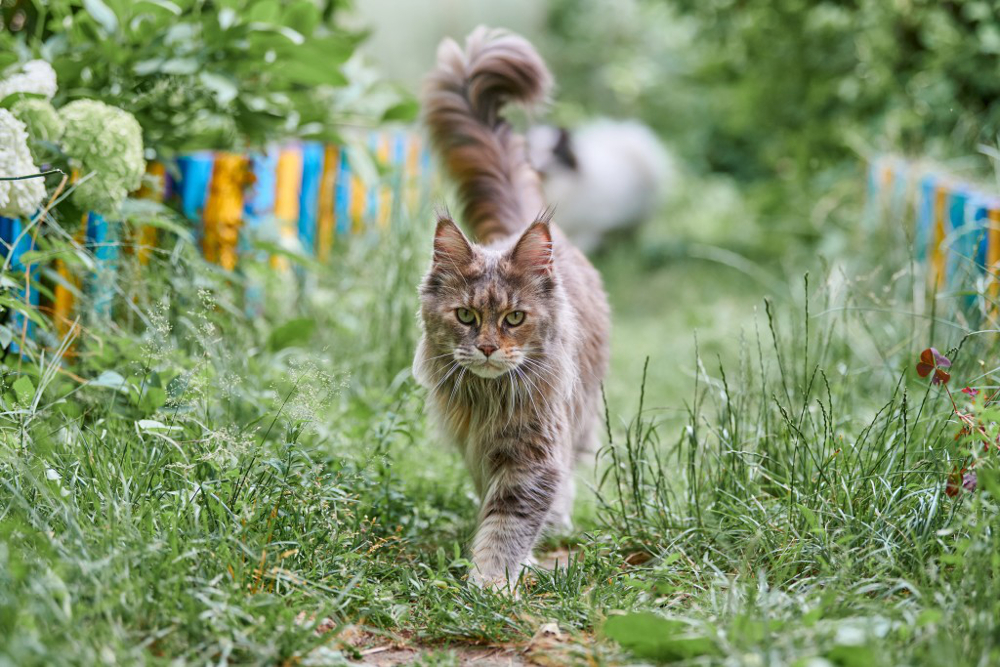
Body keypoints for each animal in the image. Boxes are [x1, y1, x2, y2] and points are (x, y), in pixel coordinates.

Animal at [412, 27, 612, 588]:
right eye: (466, 316)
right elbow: (496, 513)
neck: (490, 400)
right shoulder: (482, 447)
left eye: (514, 318)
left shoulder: (535, 454)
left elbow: (509, 523)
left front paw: (491, 585)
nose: (486, 348)